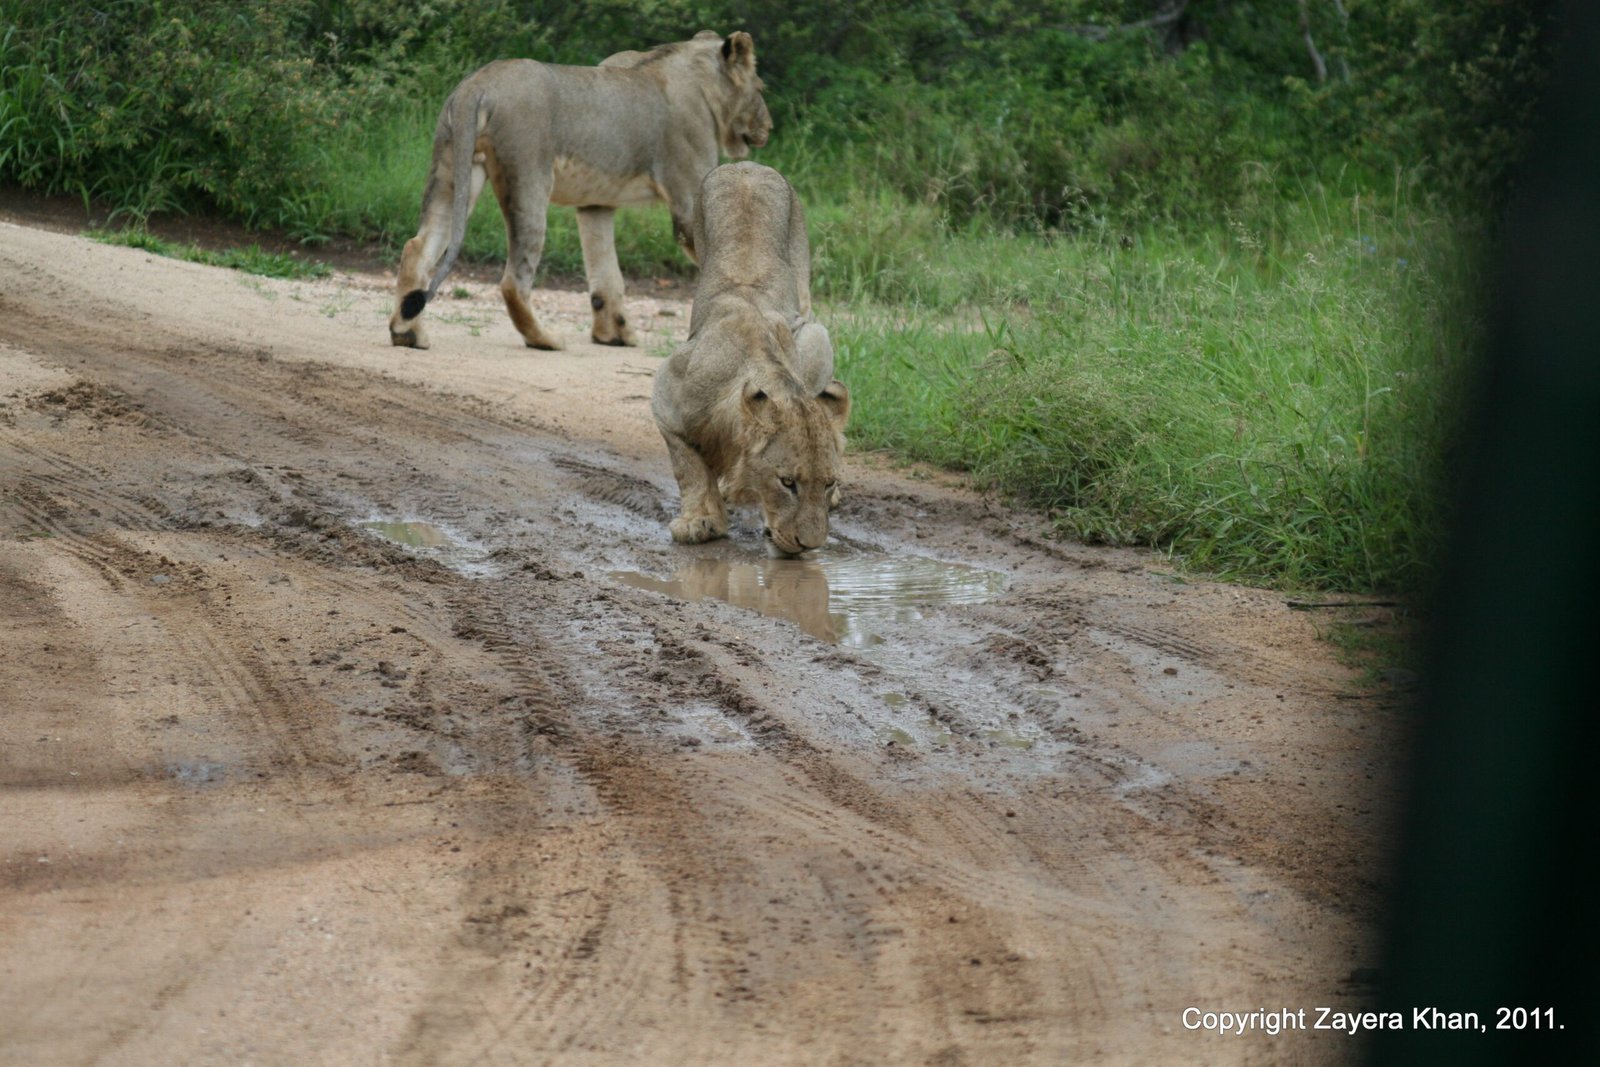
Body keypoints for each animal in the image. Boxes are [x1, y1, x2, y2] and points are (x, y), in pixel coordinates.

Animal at [388, 31, 771, 351]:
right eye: (761, 89)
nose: (768, 126)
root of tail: (477, 85)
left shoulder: (596, 204)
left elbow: (606, 275)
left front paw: (613, 335)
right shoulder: (690, 198)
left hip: (452, 169)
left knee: (418, 248)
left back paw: (408, 333)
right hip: (529, 179)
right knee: (513, 280)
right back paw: (545, 340)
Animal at [651, 162, 849, 556]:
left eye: (828, 482)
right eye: (787, 482)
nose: (809, 546)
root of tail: (747, 166)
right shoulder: (664, 391)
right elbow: (688, 466)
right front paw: (700, 521)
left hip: (813, 329)